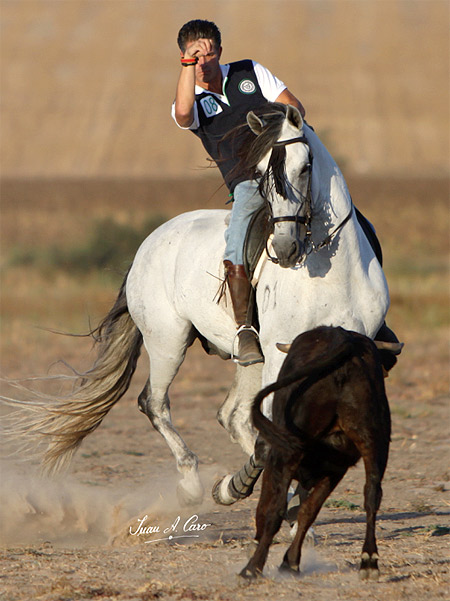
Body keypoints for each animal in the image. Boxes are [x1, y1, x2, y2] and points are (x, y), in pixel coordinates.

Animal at [3, 104, 390, 506]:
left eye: (304, 167)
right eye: (259, 173)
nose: (284, 248)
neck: (329, 272)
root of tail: (148, 244)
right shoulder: (281, 353)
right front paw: (246, 486)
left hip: (245, 356)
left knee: (233, 415)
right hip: (169, 342)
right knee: (155, 402)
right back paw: (194, 483)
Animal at [241, 326, 392, 580]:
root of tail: (342, 338)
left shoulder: (277, 462)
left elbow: (270, 507)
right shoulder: (335, 470)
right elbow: (308, 511)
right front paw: (291, 562)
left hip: (286, 454)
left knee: (275, 510)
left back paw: (252, 568)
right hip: (374, 442)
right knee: (372, 495)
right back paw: (369, 560)